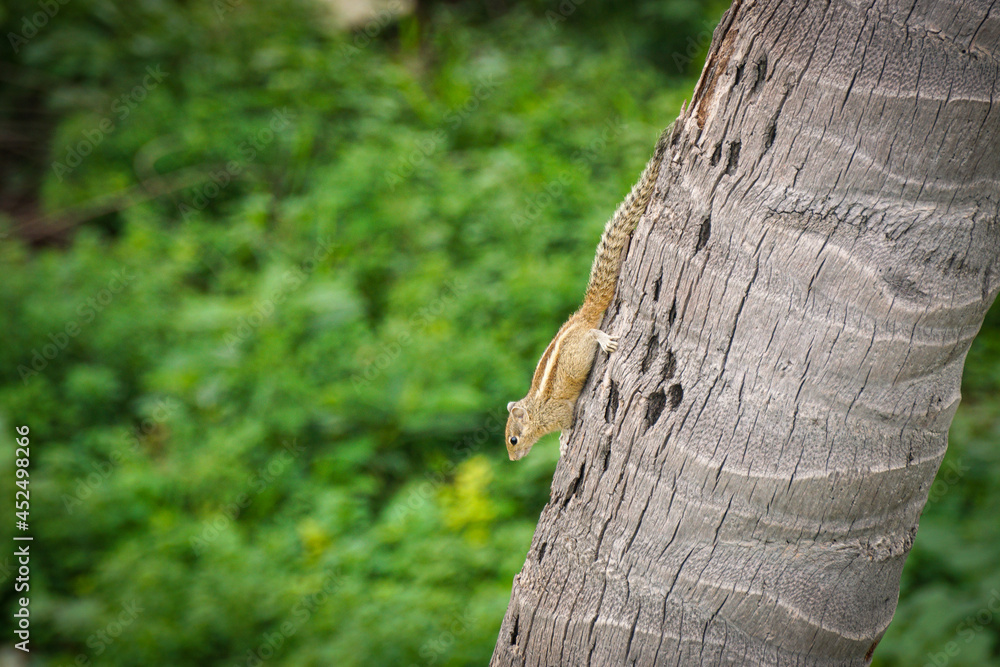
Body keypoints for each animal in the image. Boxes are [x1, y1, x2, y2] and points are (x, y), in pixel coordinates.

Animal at [505, 128, 671, 461]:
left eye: (513, 439)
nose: (513, 458)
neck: (535, 411)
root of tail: (582, 313)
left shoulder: (560, 412)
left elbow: (568, 424)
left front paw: (564, 441)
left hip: (583, 340)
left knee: (593, 332)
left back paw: (604, 339)